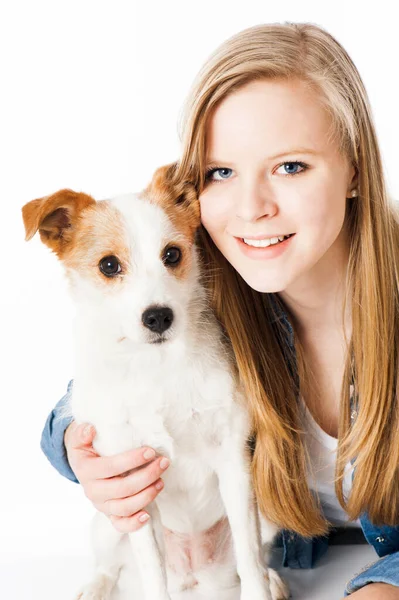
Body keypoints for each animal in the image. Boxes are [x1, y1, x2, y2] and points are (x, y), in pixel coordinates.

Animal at [21, 164, 290, 600]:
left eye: (172, 254)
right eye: (108, 266)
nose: (159, 317)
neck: (156, 366)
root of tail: (194, 574)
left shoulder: (234, 462)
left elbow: (250, 560)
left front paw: (260, 588)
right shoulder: (132, 487)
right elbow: (151, 571)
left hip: (265, 510)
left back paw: (273, 578)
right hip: (107, 521)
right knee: (111, 565)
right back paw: (94, 586)